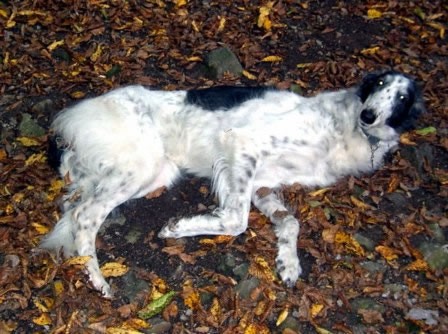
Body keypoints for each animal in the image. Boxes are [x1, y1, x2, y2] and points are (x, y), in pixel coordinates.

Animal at [41, 70, 424, 294]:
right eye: (378, 85)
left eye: (403, 98)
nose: (369, 115)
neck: (345, 127)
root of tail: (76, 113)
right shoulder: (244, 145)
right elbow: (236, 221)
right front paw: (179, 227)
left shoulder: (264, 184)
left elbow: (290, 223)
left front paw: (288, 263)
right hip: (139, 167)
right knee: (85, 217)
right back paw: (96, 278)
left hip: (147, 174)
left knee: (74, 210)